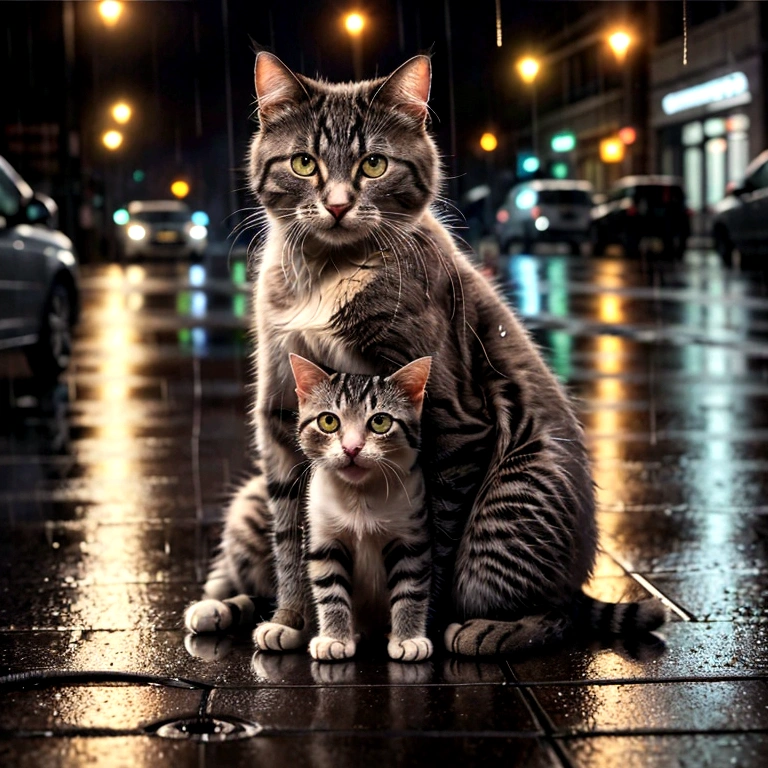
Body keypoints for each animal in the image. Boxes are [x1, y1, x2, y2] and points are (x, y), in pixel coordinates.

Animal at [288, 352, 432, 660]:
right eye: (328, 421)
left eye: (380, 422)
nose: (352, 448)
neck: (359, 497)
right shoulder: (323, 537)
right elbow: (330, 589)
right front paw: (335, 638)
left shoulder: (411, 533)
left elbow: (411, 586)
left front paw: (408, 638)